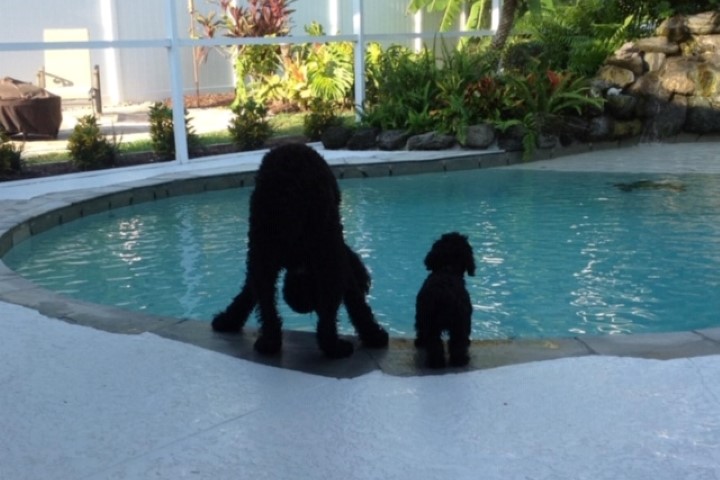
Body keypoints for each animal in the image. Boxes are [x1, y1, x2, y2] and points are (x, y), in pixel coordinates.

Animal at [211, 144, 390, 358]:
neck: (299, 259)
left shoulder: (264, 257)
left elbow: (251, 290)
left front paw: (228, 320)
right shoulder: (334, 254)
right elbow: (353, 298)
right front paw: (372, 335)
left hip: (262, 237)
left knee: (266, 299)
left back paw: (270, 341)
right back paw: (332, 345)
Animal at [414, 232, 476, 368]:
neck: (448, 269)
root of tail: (445, 294)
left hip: (433, 323)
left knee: (435, 344)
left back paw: (436, 362)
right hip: (459, 323)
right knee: (458, 343)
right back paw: (459, 361)